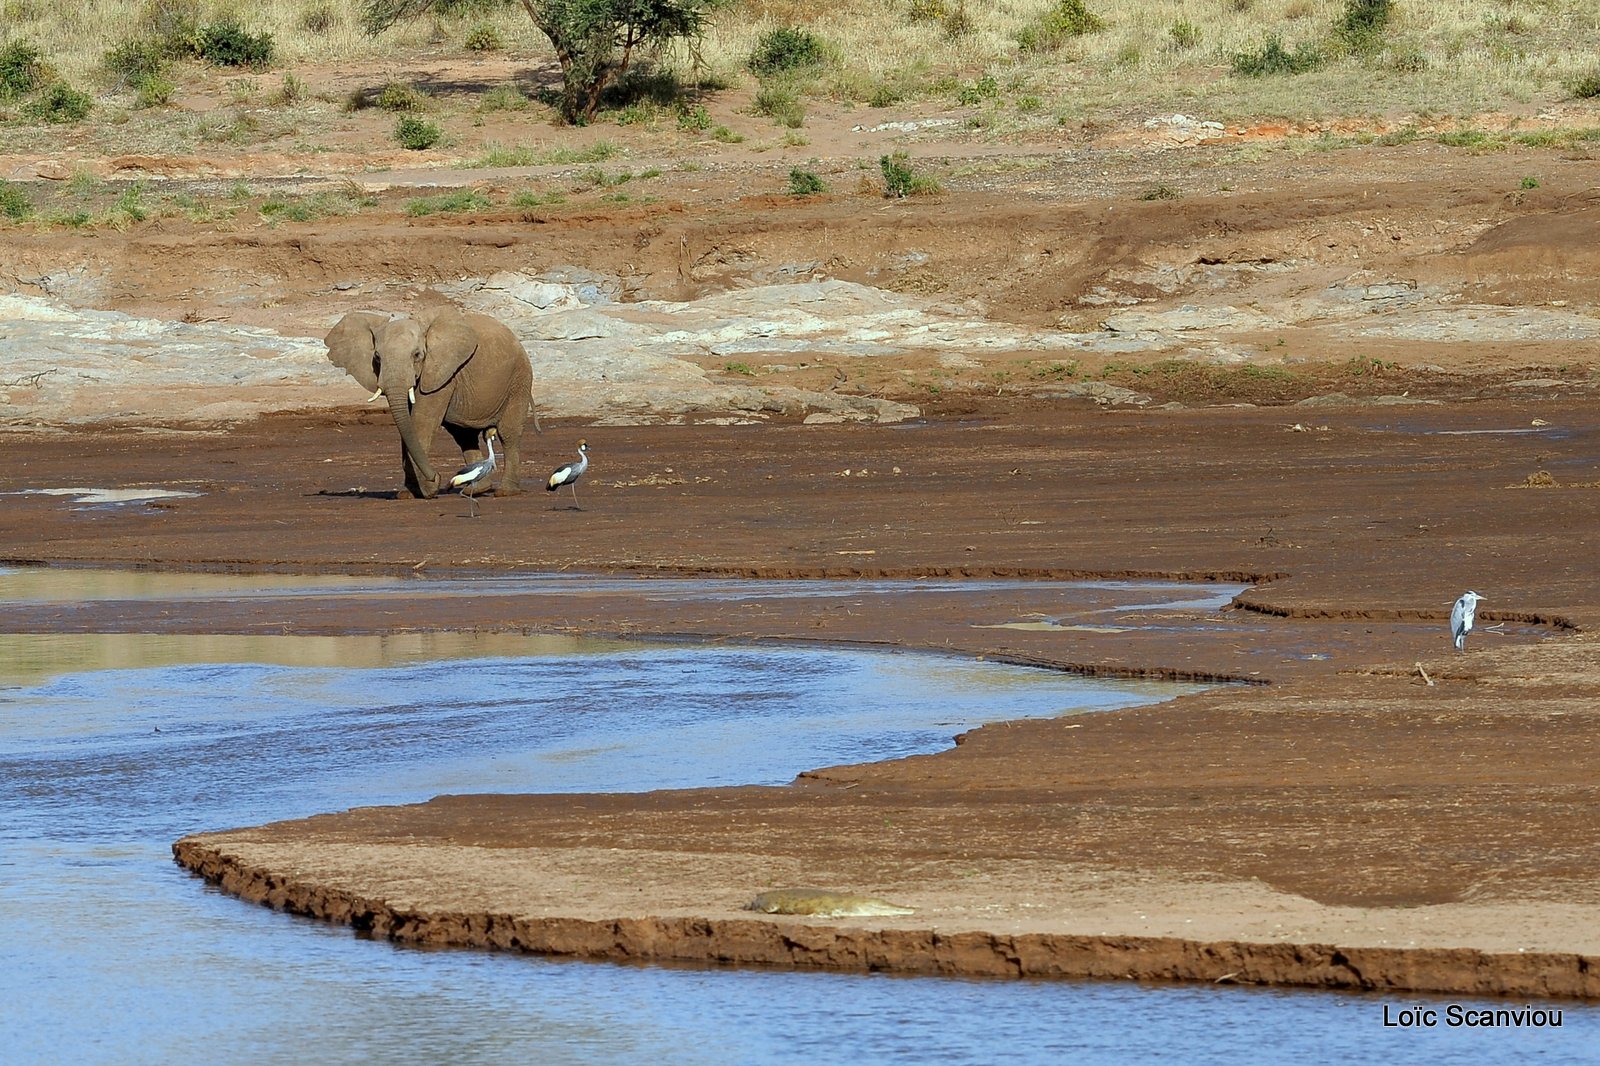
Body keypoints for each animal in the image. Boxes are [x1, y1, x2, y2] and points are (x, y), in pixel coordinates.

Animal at [324, 302, 537, 492]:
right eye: (376, 357)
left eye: (417, 355)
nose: (437, 477)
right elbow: (407, 426)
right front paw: (409, 493)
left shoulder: (442, 373)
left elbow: (421, 422)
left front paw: (426, 490)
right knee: (464, 436)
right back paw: (477, 489)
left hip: (520, 379)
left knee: (508, 434)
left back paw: (506, 491)